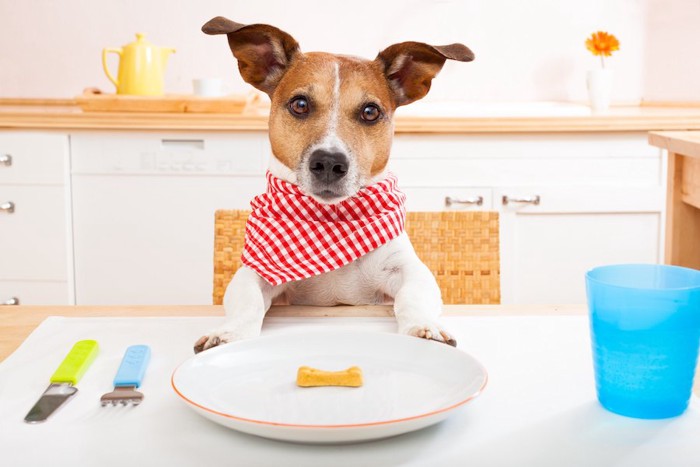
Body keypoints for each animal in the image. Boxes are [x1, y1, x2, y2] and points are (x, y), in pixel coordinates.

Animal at [194, 16, 474, 354]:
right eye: (300, 104)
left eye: (370, 112)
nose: (329, 162)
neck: (332, 220)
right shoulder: (258, 271)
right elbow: (247, 298)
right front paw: (230, 333)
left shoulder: (406, 268)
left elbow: (414, 294)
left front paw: (424, 327)